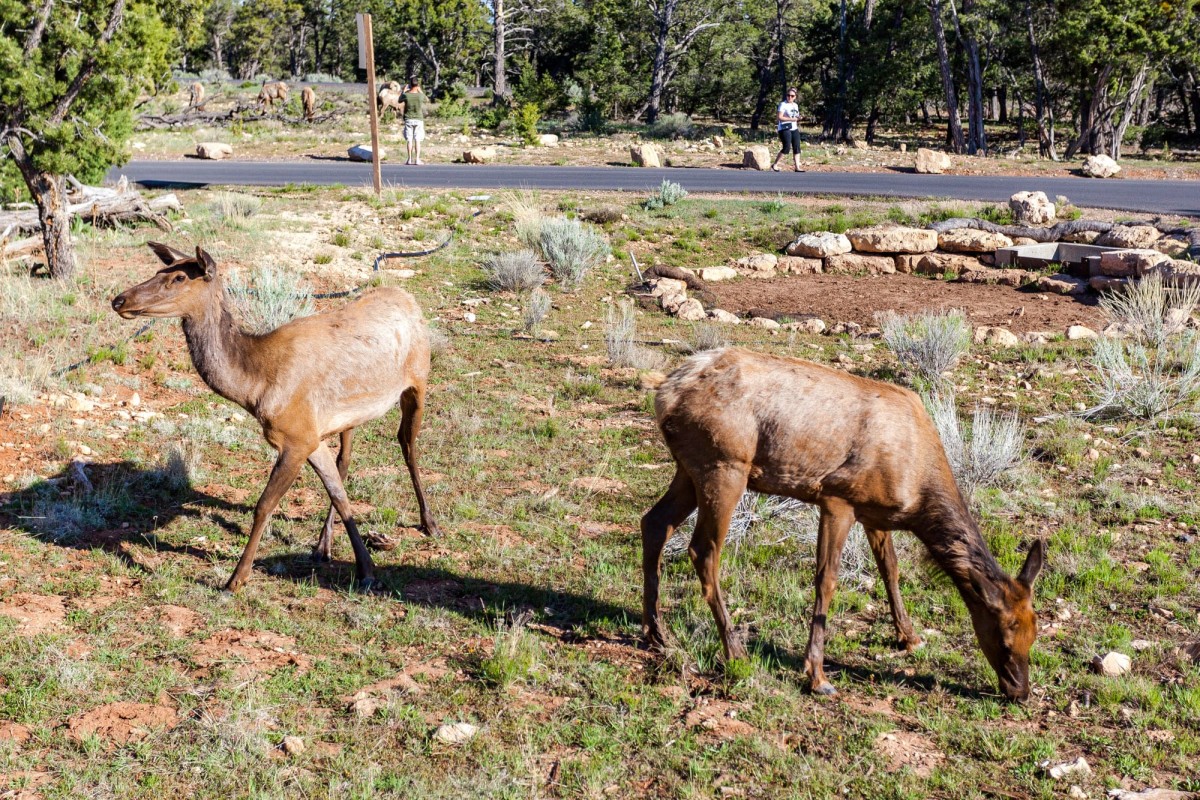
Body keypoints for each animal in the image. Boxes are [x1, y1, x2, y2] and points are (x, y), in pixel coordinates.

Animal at [111, 241, 441, 592]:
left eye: (179, 278)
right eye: (159, 270)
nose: (120, 299)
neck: (255, 387)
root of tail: (407, 296)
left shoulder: (296, 438)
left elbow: (264, 505)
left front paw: (236, 578)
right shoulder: (309, 436)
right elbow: (338, 493)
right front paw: (365, 569)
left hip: (419, 380)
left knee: (407, 444)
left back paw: (429, 522)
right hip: (346, 417)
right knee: (347, 459)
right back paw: (323, 544)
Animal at [643, 347, 1046, 700]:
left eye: (1035, 631)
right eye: (1004, 636)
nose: (1021, 692)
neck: (917, 493)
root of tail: (666, 393)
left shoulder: (875, 512)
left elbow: (890, 569)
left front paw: (909, 637)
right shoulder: (838, 498)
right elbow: (827, 580)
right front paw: (817, 676)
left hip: (689, 469)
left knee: (654, 522)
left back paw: (656, 633)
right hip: (723, 465)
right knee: (703, 551)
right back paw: (735, 650)